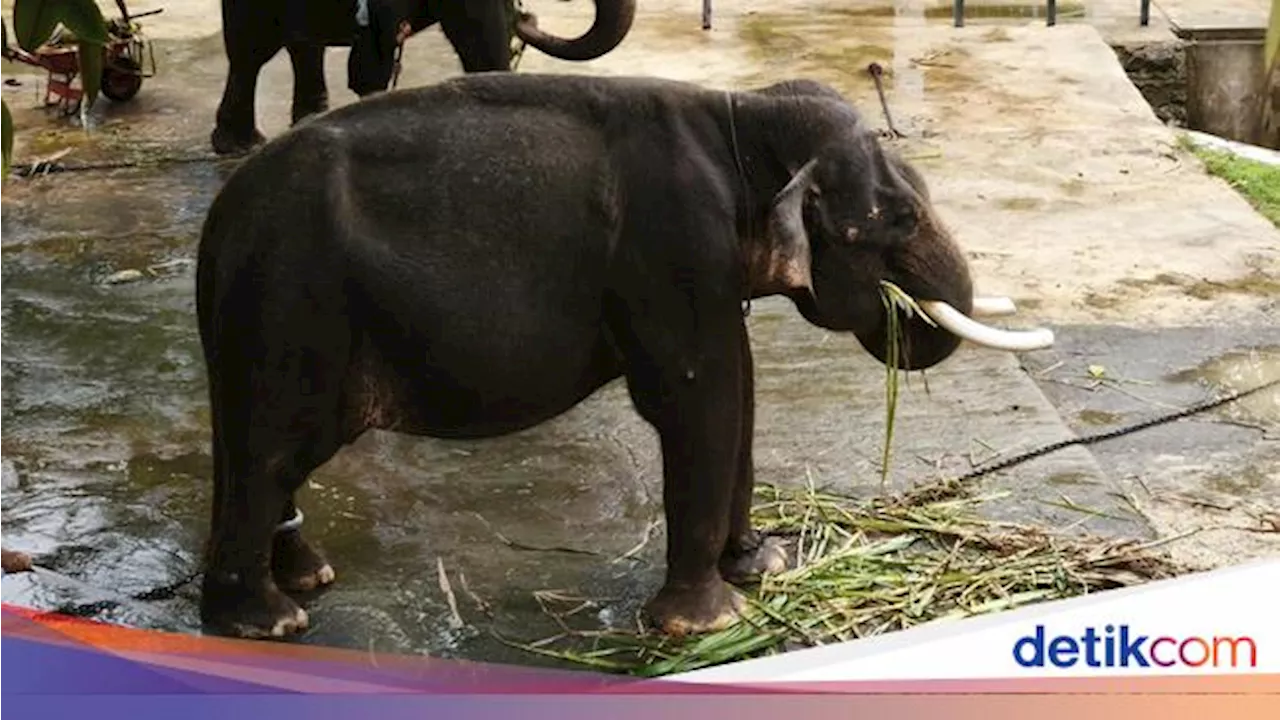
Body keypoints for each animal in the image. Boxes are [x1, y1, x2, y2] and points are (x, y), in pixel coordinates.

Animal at [189, 71, 1049, 632]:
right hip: (291, 309)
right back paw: (271, 622)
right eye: (897, 220)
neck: (742, 112)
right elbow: (704, 396)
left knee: (252, 450)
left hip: (261, 324)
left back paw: (307, 579)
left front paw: (761, 568)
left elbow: (742, 391)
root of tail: (219, 222)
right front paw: (704, 624)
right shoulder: (674, 247)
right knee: (273, 450)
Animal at [209, 0, 640, 155]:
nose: (527, 17)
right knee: (251, 49)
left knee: (302, 44)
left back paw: (305, 121)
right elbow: (476, 34)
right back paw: (240, 144)